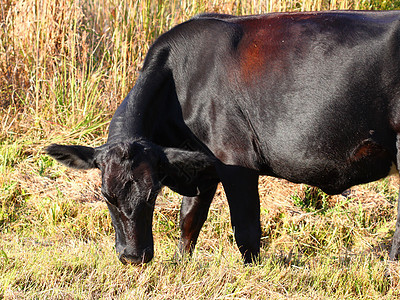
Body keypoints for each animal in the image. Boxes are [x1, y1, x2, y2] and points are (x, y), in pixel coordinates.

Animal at [46, 11, 400, 264]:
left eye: (153, 193)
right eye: (107, 196)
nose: (133, 257)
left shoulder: (234, 161)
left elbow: (246, 230)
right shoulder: (199, 164)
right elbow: (189, 221)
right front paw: (181, 265)